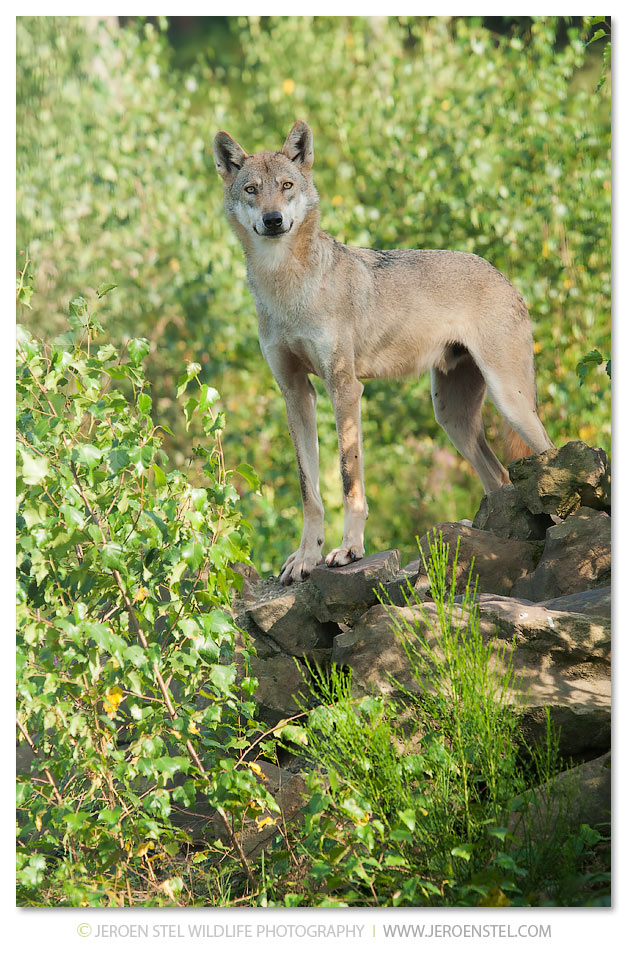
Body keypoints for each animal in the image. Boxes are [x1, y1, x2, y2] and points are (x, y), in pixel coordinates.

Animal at [213, 120, 553, 585]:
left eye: (286, 186)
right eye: (251, 189)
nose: (273, 219)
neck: (287, 288)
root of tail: (503, 276)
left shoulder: (345, 389)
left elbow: (347, 478)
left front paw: (349, 550)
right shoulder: (296, 393)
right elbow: (309, 490)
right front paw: (305, 557)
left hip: (511, 403)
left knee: (546, 454)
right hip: (452, 418)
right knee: (499, 477)